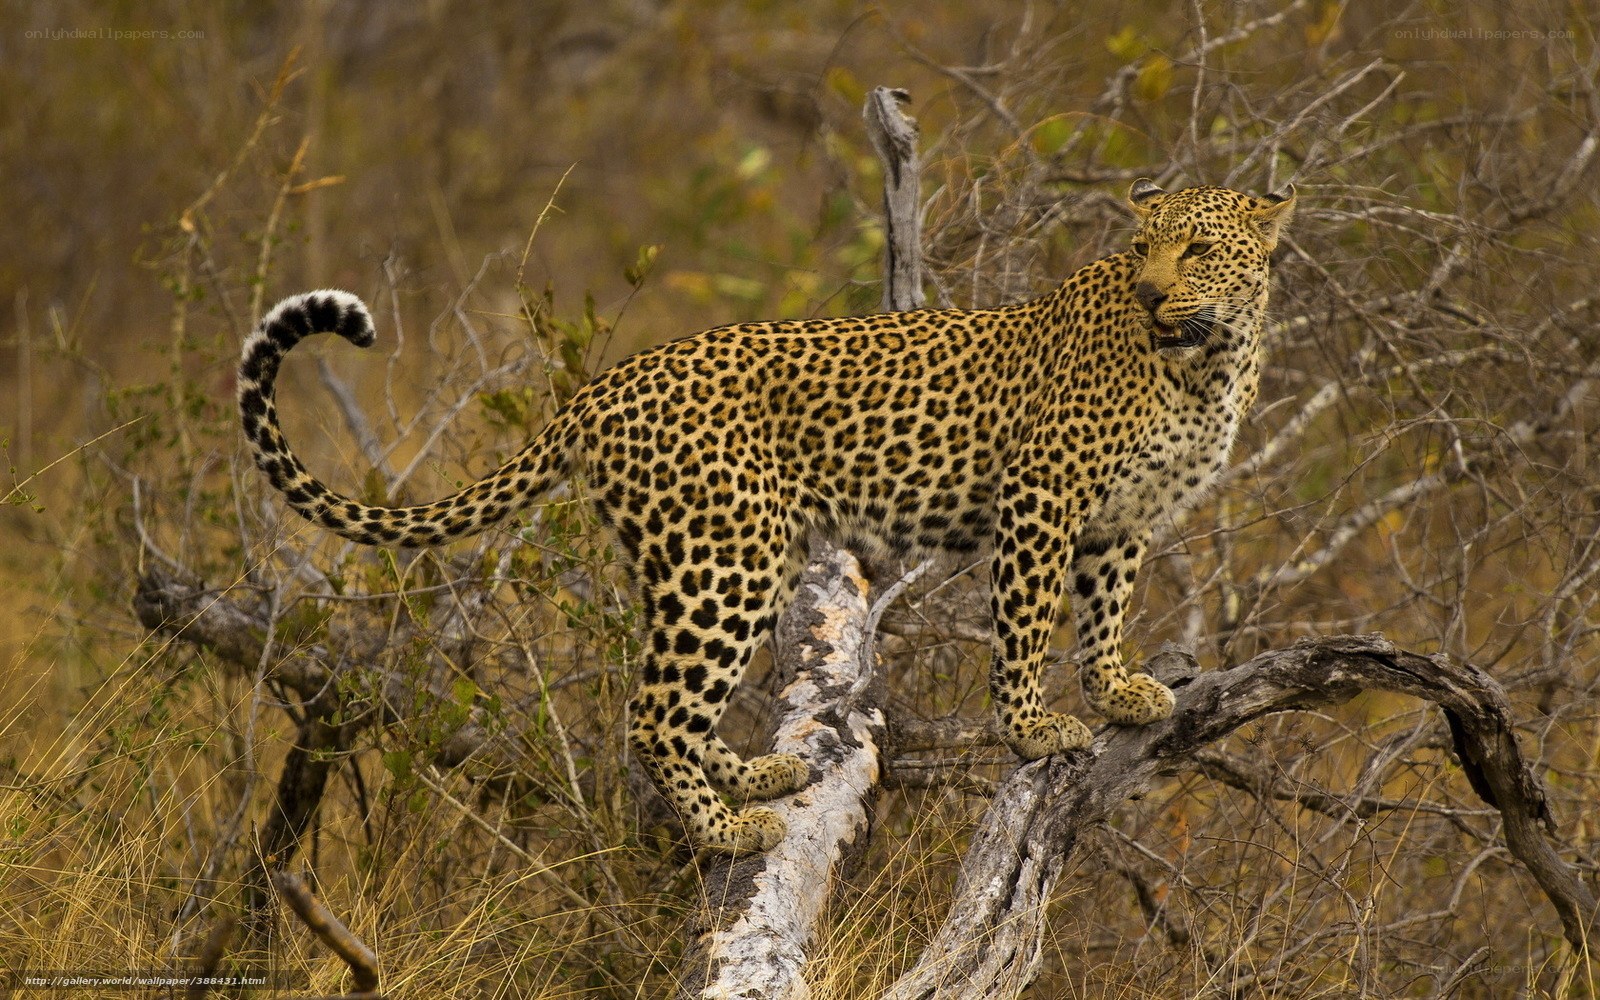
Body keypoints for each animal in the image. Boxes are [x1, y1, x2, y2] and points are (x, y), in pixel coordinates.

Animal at [237, 179, 1296, 854]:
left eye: (1196, 249)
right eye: (1143, 249)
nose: (1153, 292)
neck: (1209, 358)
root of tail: (601, 388)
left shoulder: (1120, 518)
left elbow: (1104, 609)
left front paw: (1118, 691)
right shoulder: (1044, 495)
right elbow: (1029, 623)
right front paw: (1036, 730)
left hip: (712, 559)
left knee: (677, 700)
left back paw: (753, 782)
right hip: (727, 561)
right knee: (652, 713)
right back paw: (726, 830)